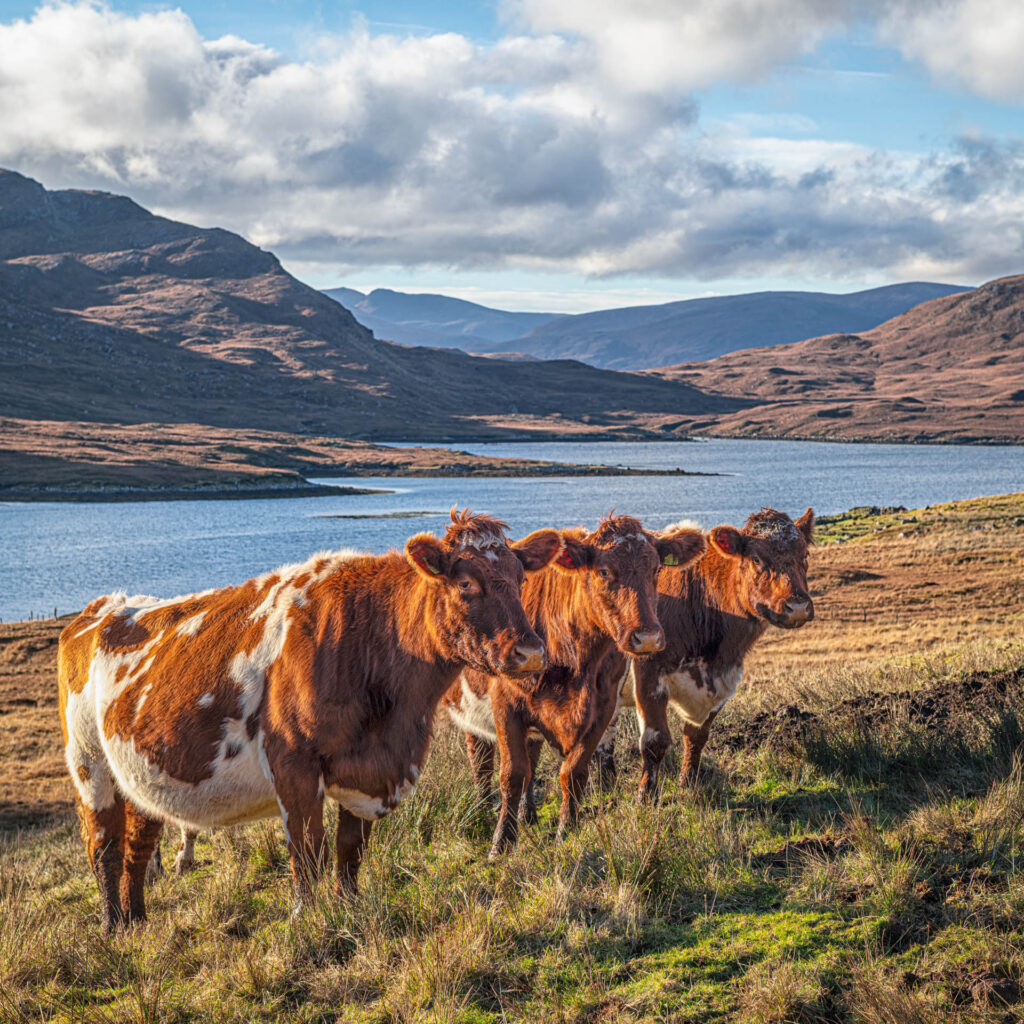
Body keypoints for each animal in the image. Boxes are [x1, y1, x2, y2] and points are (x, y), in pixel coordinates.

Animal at [58, 507, 561, 933]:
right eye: (466, 584)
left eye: (520, 578)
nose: (531, 652)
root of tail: (100, 609)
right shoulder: (294, 764)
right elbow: (307, 850)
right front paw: (306, 918)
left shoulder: (366, 771)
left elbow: (349, 848)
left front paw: (348, 907)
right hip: (89, 764)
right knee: (103, 846)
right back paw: (111, 926)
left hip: (136, 773)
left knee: (137, 846)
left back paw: (136, 922)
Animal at [444, 512, 708, 856]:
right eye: (604, 570)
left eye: (656, 570)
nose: (648, 637)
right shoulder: (505, 704)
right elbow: (511, 774)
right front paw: (501, 843)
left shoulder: (603, 705)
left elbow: (573, 771)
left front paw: (565, 830)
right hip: (471, 712)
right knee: (481, 761)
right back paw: (481, 810)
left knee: (531, 758)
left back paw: (528, 815)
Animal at [598, 507, 815, 794]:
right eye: (757, 558)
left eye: (805, 554)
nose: (797, 606)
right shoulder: (648, 672)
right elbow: (654, 741)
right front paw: (645, 795)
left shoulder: (725, 680)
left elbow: (697, 736)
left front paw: (688, 782)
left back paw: (606, 783)